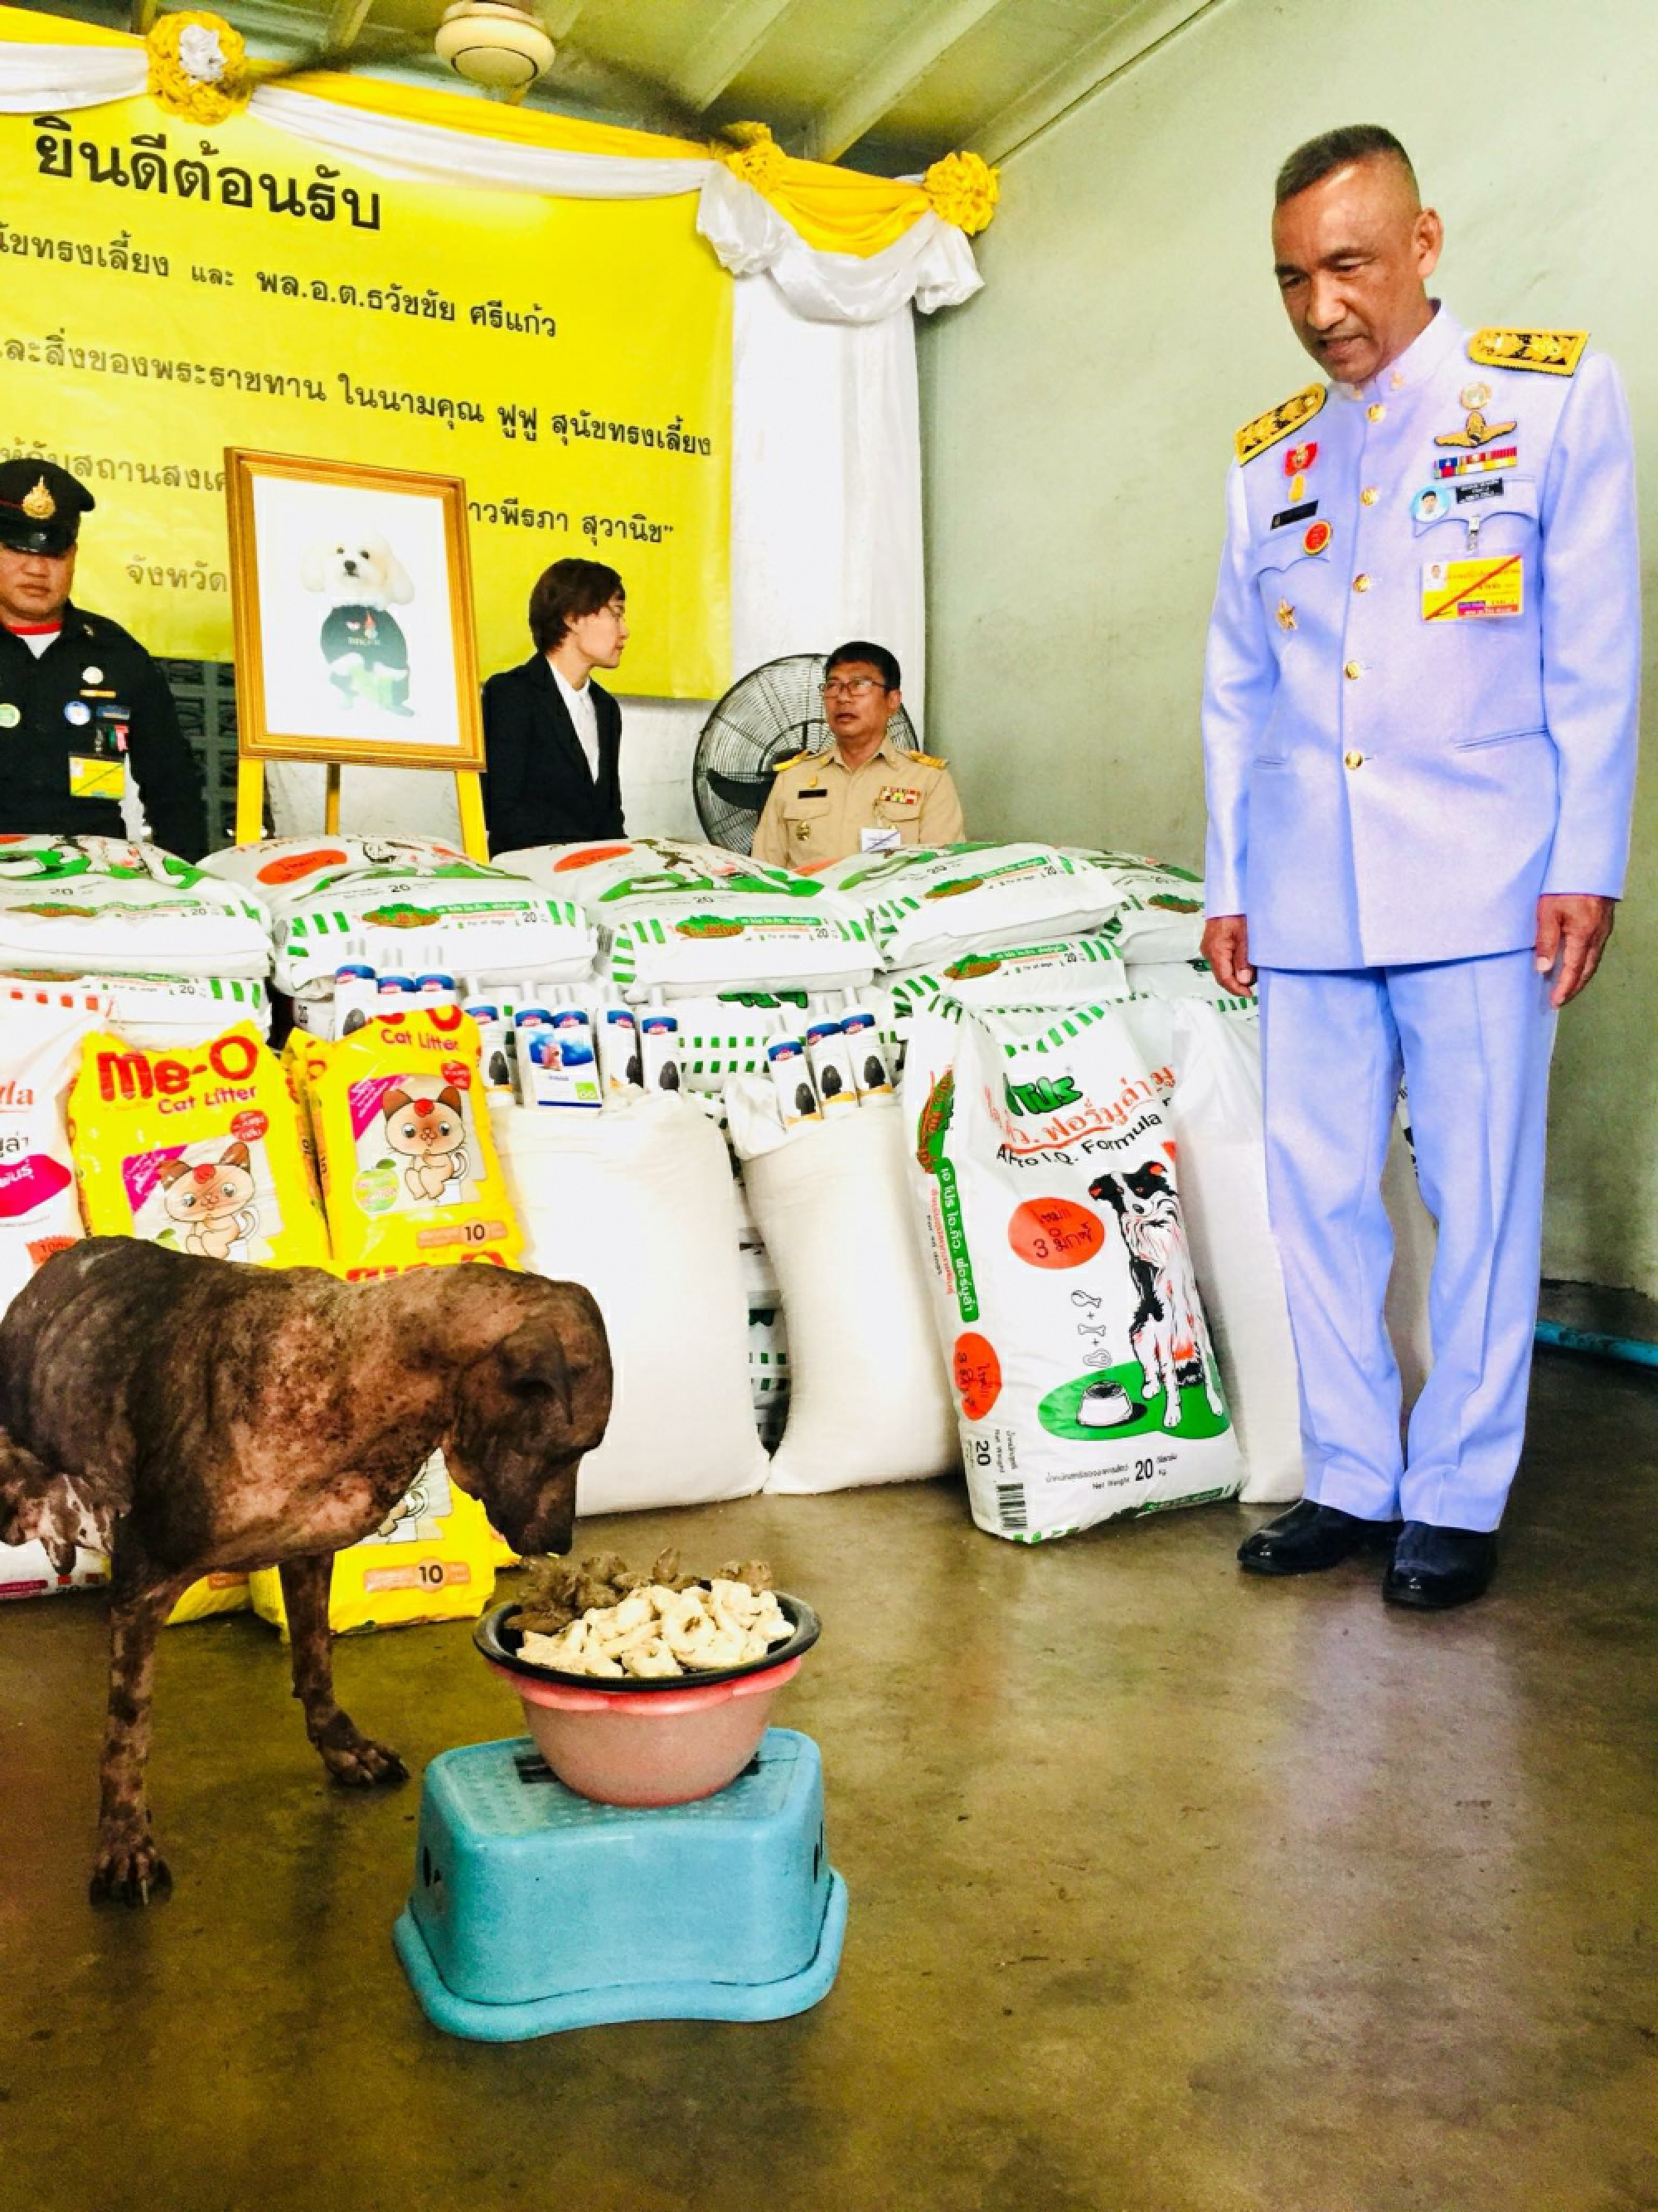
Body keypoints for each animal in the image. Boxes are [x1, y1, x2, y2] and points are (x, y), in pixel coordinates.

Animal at [0, 1247, 614, 1902]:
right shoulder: (145, 1582)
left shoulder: (311, 1556)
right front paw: (123, 1840)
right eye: (569, 1448)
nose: (560, 1542)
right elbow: (128, 1729)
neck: (373, 1376)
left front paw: (342, 1747)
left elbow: (316, 1662)